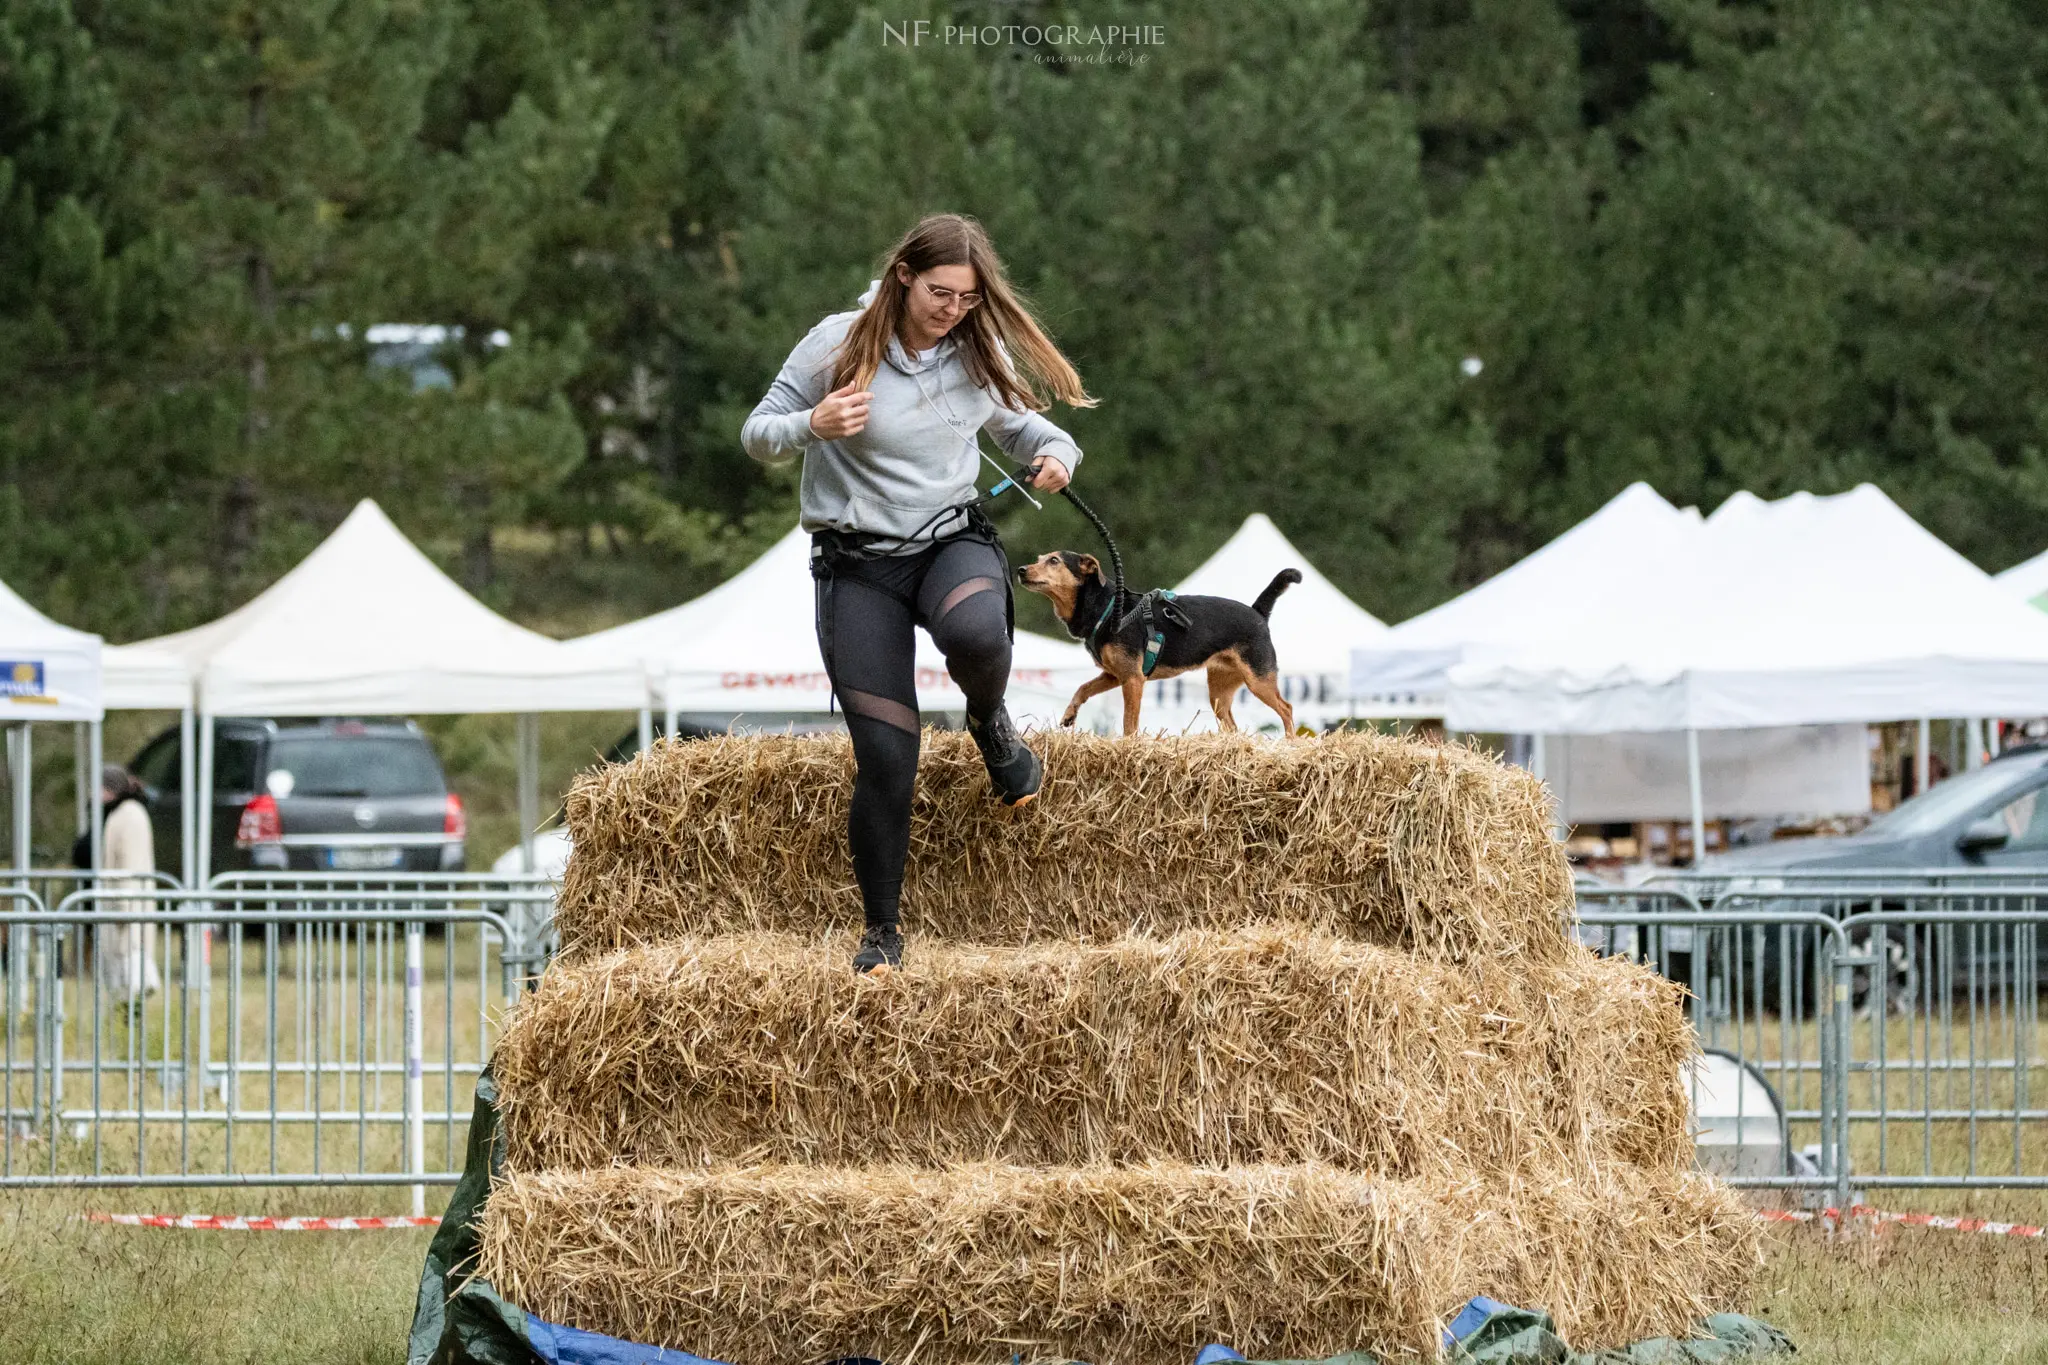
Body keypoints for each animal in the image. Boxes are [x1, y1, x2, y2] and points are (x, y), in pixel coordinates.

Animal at [1019, 548, 1302, 736]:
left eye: (1054, 561)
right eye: (1038, 559)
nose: (1021, 570)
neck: (1108, 609)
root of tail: (1257, 613)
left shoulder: (1132, 679)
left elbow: (1129, 721)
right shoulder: (1115, 674)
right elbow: (1083, 688)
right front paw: (1069, 714)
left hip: (1258, 679)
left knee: (1286, 708)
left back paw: (1289, 743)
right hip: (1220, 691)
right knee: (1232, 726)